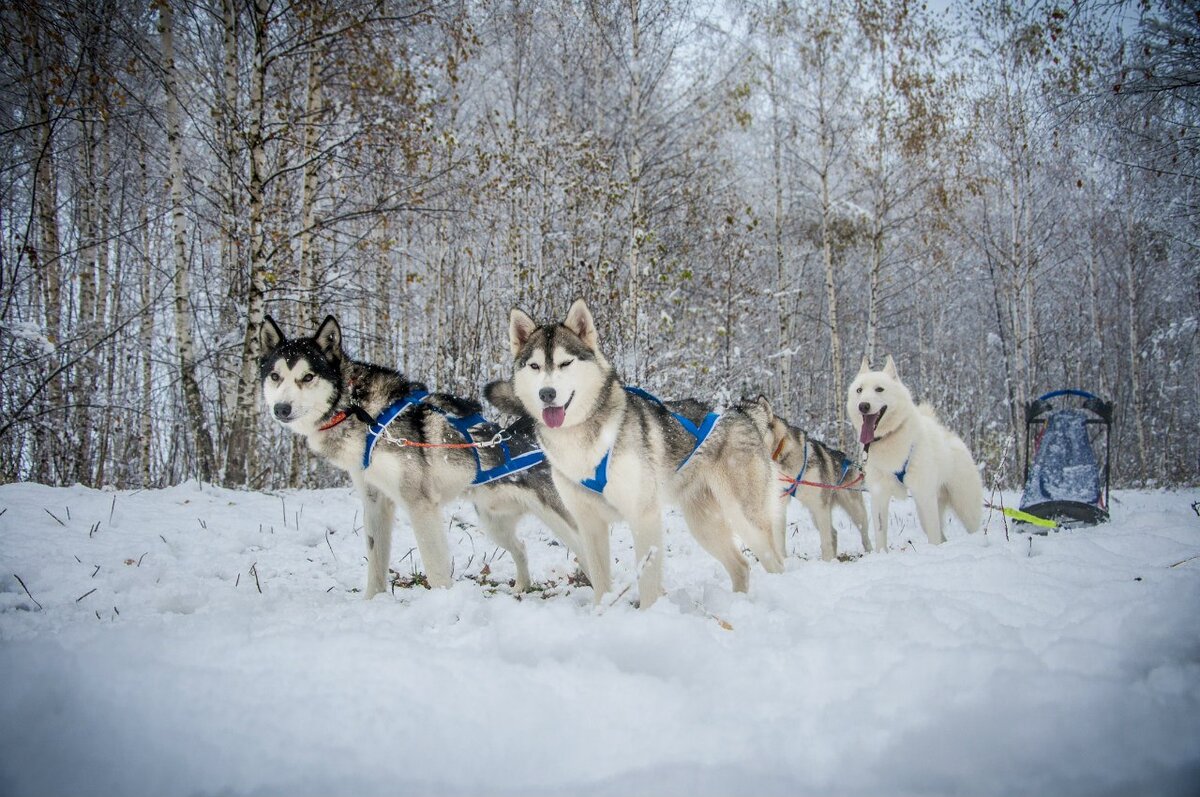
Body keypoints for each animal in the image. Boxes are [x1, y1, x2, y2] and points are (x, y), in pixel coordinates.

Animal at [261, 314, 580, 595]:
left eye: (308, 377)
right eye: (275, 376)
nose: (281, 409)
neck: (362, 411)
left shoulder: (420, 505)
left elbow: (435, 569)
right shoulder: (376, 502)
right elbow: (376, 565)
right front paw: (372, 602)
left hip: (564, 521)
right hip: (495, 524)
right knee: (522, 548)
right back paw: (522, 587)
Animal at [494, 300, 782, 609]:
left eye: (565, 363)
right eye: (535, 366)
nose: (547, 393)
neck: (581, 442)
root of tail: (741, 414)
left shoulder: (643, 516)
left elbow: (647, 581)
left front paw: (648, 615)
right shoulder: (589, 524)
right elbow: (599, 579)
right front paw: (601, 612)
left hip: (745, 518)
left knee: (774, 561)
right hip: (703, 524)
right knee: (741, 566)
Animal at [768, 417, 873, 559]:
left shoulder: (820, 506)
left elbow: (825, 541)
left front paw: (827, 560)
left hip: (854, 509)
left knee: (863, 533)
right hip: (815, 514)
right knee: (833, 533)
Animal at [849, 357, 979, 552]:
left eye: (879, 389)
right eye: (859, 390)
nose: (863, 406)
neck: (889, 438)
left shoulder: (925, 495)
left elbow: (933, 537)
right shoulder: (879, 495)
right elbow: (880, 536)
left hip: (963, 508)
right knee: (941, 536)